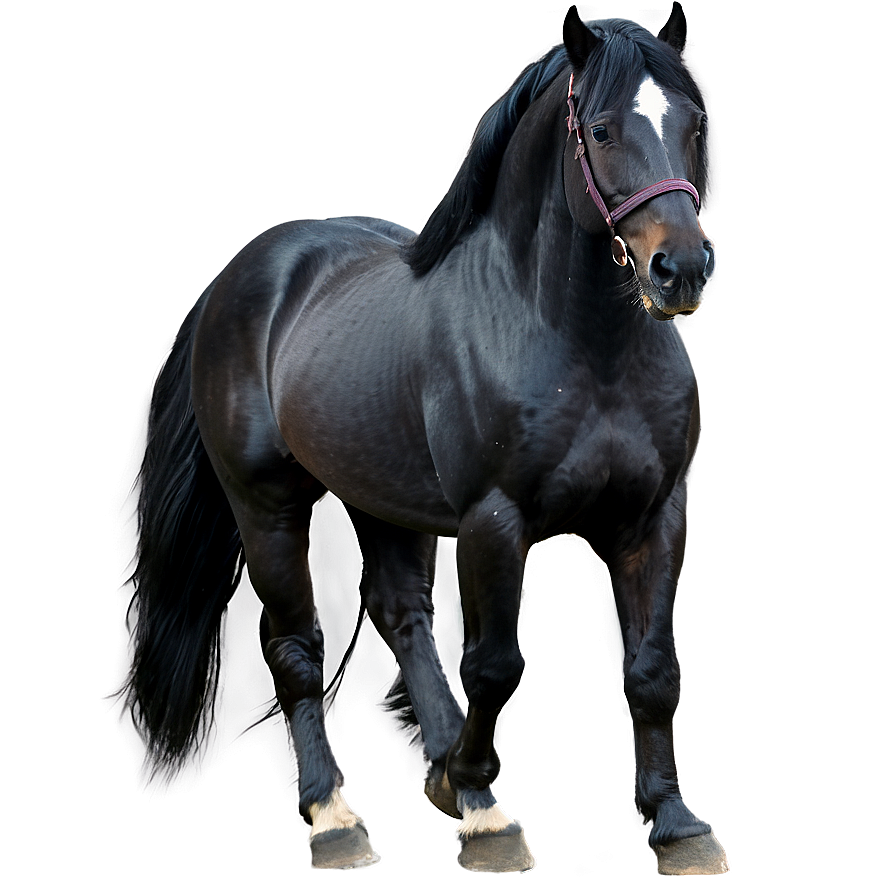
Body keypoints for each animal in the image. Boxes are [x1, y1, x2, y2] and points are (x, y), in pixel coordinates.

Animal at [126, 3, 728, 876]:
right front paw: (482, 810)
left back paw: (442, 770)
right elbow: (496, 666)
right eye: (603, 128)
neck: (585, 349)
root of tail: (238, 276)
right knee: (294, 649)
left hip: (379, 498)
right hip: (265, 507)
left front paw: (677, 825)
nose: (679, 268)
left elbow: (652, 669)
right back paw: (337, 814)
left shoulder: (651, 520)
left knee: (398, 610)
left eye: (693, 123)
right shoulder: (493, 521)